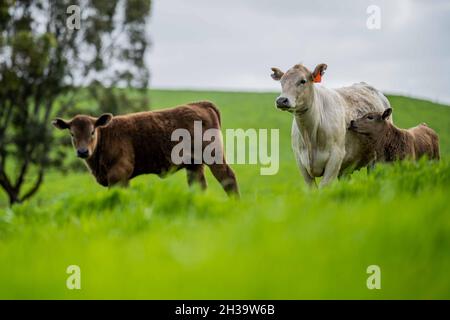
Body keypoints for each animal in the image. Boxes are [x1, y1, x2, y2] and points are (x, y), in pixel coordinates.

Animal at [51, 100, 239, 195]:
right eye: (72, 134)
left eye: (92, 132)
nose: (83, 151)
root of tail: (200, 104)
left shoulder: (119, 174)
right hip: (194, 165)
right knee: (198, 186)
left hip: (214, 156)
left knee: (227, 177)